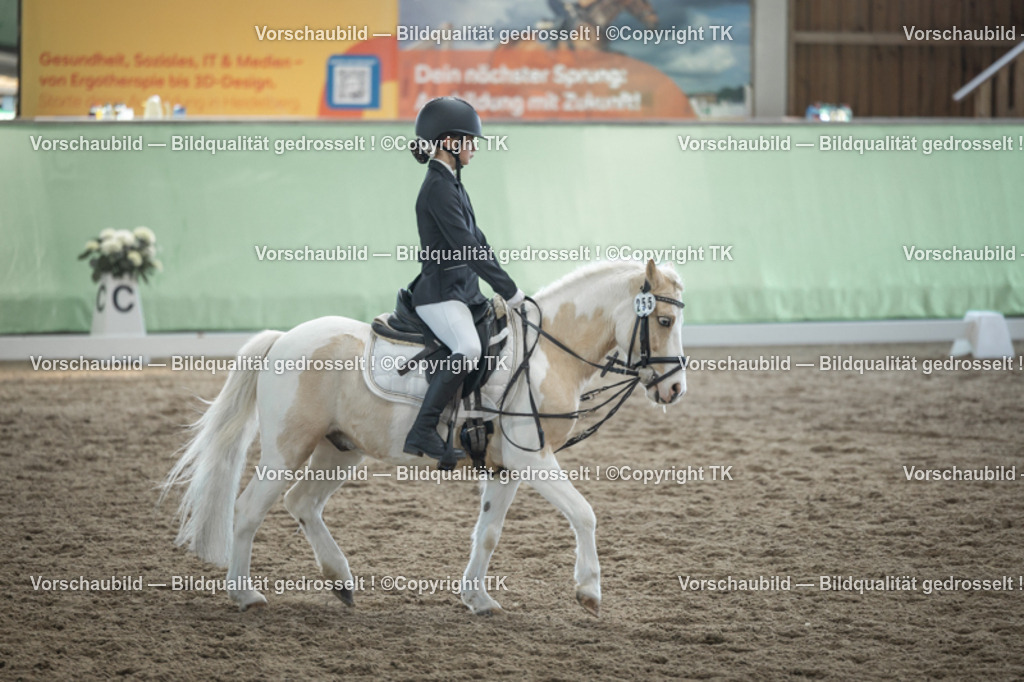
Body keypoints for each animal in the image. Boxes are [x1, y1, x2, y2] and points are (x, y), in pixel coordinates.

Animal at [160, 259, 686, 616]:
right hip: (286, 451)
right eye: (663, 321)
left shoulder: (506, 467)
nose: (675, 389)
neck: (545, 354)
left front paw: (477, 599)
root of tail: (283, 338)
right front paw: (589, 591)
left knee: (301, 503)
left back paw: (340, 581)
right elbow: (584, 513)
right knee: (250, 510)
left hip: (339, 450)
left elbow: (488, 532)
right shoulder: (534, 460)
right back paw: (245, 594)